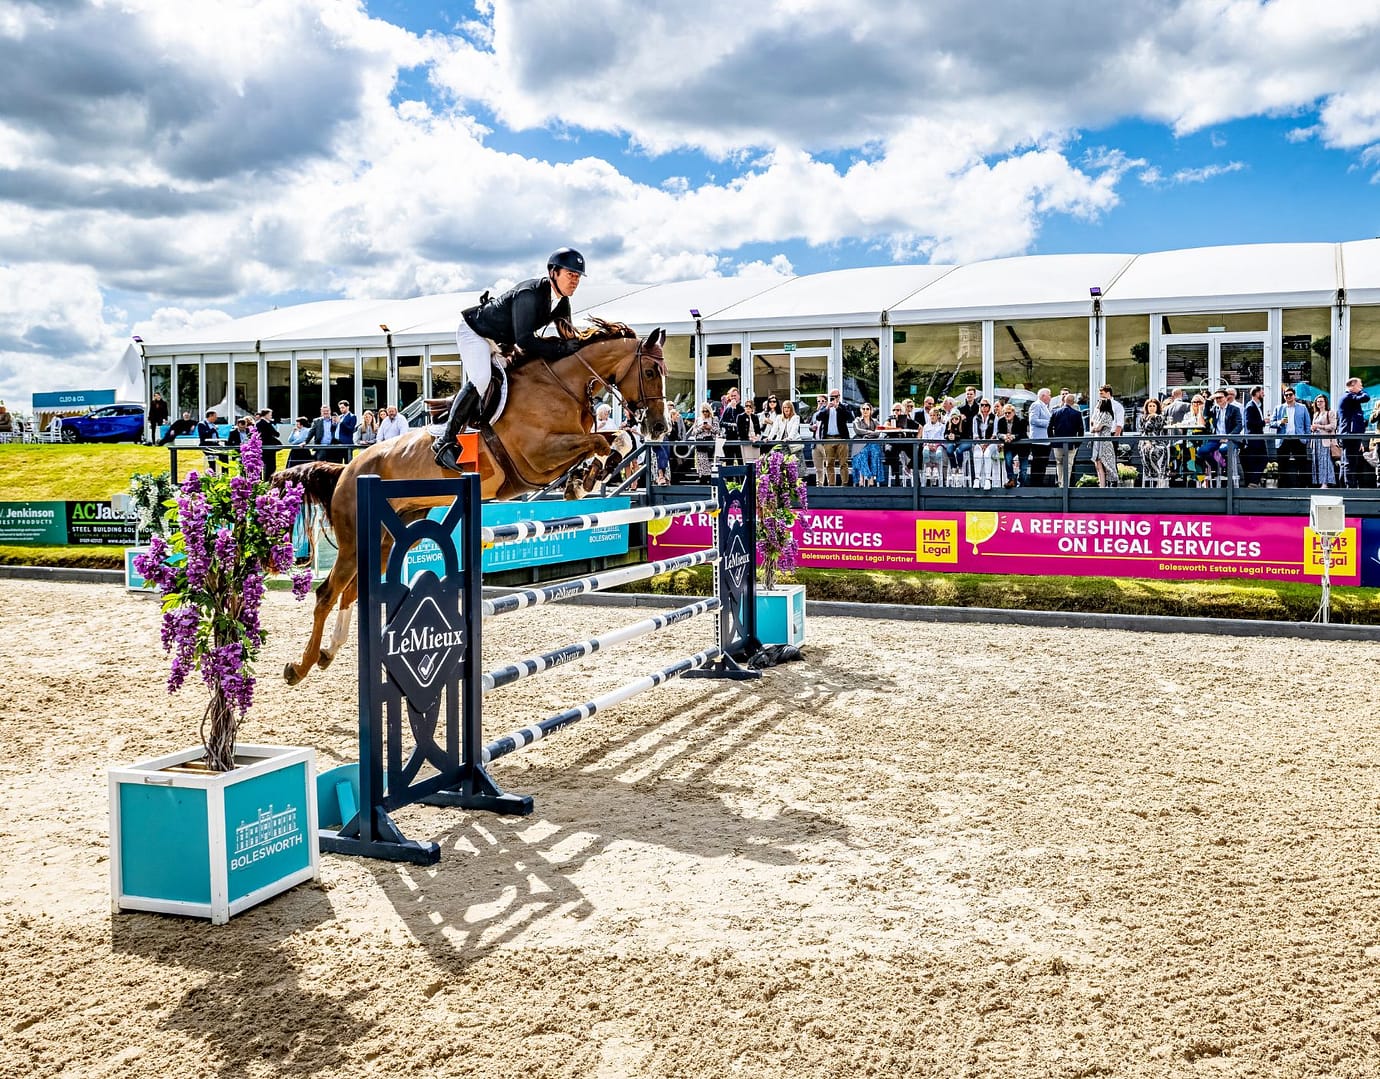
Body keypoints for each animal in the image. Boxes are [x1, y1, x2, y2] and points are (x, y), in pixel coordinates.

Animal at [274, 322, 669, 686]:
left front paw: (585, 480)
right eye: (651, 372)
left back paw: (328, 653)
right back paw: (299, 667)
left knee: (352, 591)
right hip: (354, 542)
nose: (661, 427)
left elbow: (614, 438)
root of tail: (347, 469)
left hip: (388, 539)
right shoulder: (538, 456)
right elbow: (604, 440)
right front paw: (587, 478)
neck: (562, 385)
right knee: (327, 592)